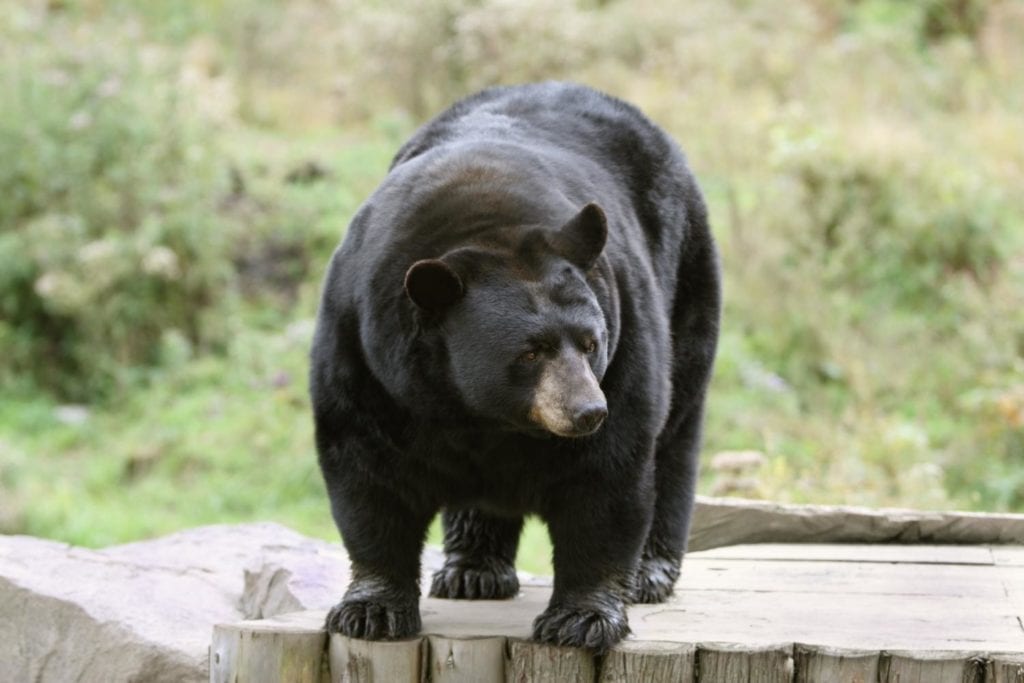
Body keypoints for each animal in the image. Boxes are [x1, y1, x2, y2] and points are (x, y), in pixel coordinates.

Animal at [310, 81, 720, 652]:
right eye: (530, 351)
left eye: (590, 343)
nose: (589, 411)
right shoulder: (364, 356)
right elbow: (368, 474)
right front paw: (371, 610)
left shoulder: (627, 336)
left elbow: (608, 477)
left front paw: (581, 619)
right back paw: (471, 570)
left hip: (687, 280)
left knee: (675, 434)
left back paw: (650, 571)